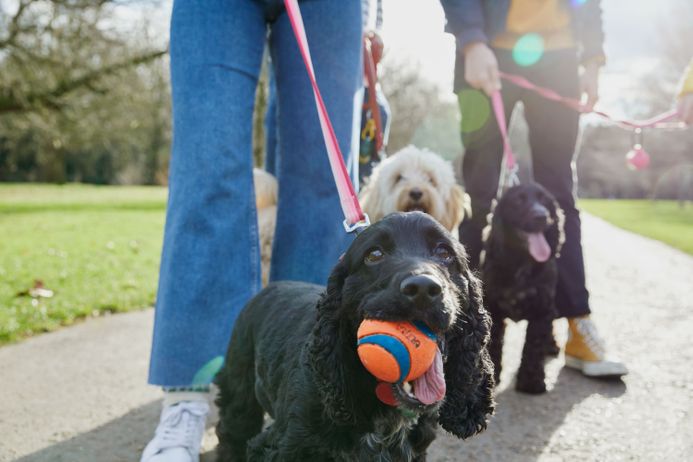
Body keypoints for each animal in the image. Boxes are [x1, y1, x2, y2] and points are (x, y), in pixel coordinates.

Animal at [482, 182, 564, 392]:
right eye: (518, 200)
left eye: (545, 200)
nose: (542, 216)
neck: (523, 262)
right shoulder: (493, 307)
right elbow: (494, 343)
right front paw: (494, 374)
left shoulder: (542, 309)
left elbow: (533, 346)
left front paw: (532, 382)